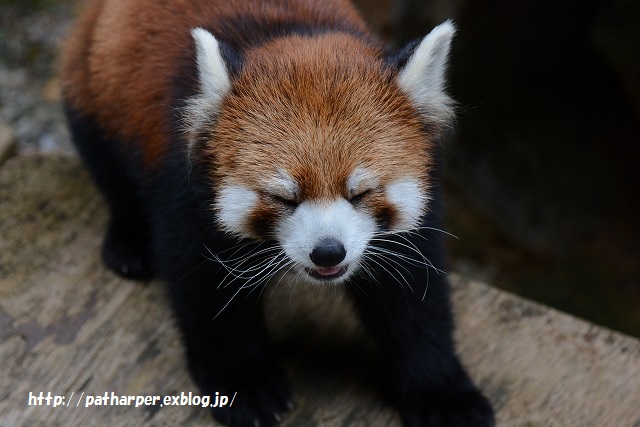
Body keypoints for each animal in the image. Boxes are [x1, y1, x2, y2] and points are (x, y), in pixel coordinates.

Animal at [61, 0, 496, 427]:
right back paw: (129, 242)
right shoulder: (184, 191)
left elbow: (414, 302)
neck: (293, 35)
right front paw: (244, 384)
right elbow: (205, 292)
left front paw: (444, 395)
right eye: (283, 198)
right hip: (94, 85)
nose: (328, 251)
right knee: (108, 168)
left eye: (361, 193)